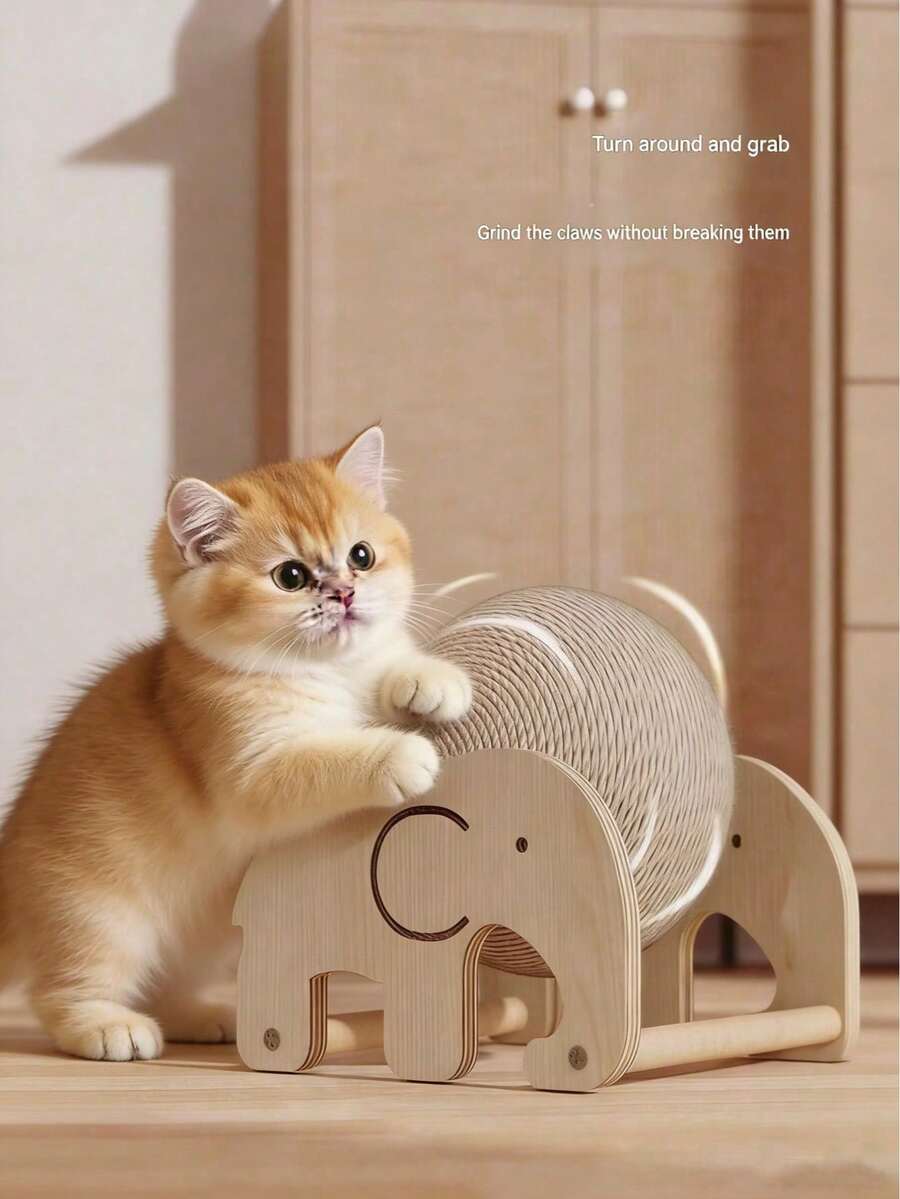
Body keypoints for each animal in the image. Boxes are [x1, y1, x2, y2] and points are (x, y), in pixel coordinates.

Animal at [233, 749, 643, 1092]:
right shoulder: (420, 941)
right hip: (276, 934)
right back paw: (276, 1050)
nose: (562, 1056)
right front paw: (427, 1071)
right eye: (522, 845)